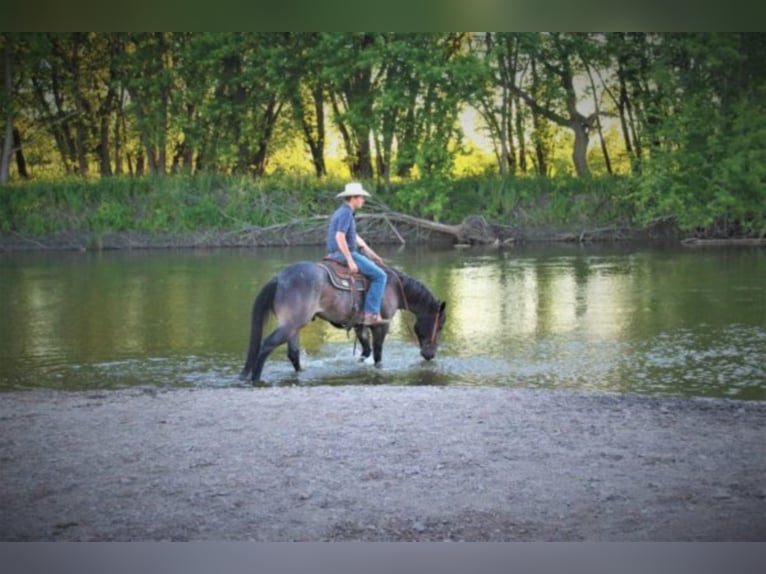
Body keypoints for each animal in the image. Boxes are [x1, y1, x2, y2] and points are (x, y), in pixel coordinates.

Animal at [238, 264, 444, 384]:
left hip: (294, 328)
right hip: (290, 326)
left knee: (293, 354)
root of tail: (278, 278)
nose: (430, 355)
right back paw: (255, 379)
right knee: (267, 345)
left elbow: (366, 350)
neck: (393, 286)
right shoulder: (381, 326)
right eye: (440, 326)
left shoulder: (361, 325)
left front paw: (359, 362)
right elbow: (377, 354)